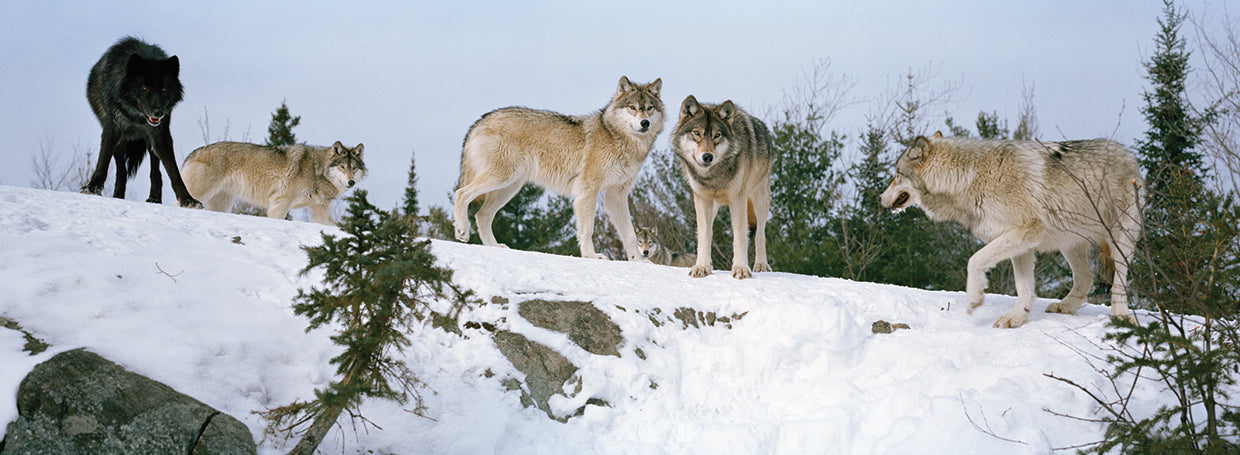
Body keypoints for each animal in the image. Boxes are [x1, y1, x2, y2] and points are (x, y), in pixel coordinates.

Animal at [81, 36, 201, 208]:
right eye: (144, 88)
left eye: (164, 89)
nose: (159, 112)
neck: (136, 118)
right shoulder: (113, 129)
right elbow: (103, 160)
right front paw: (92, 187)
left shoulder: (161, 134)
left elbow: (173, 170)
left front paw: (187, 199)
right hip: (121, 141)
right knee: (122, 171)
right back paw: (118, 196)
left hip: (151, 143)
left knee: (155, 171)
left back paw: (155, 198)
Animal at [180, 141, 366, 225]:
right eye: (342, 167)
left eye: (354, 168)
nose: (351, 182)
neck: (316, 170)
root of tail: (194, 152)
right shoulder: (280, 203)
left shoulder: (320, 213)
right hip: (198, 194)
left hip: (222, 205)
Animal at [452, 76, 664, 260]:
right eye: (632, 107)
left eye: (649, 108)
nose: (645, 123)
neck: (619, 138)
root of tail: (480, 120)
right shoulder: (588, 192)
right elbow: (588, 229)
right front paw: (591, 256)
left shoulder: (616, 196)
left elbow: (630, 235)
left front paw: (640, 261)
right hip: (501, 178)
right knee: (461, 193)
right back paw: (462, 231)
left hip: (508, 188)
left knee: (482, 215)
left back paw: (494, 247)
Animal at [671, 95, 775, 279]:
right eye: (696, 133)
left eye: (717, 135)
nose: (707, 156)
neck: (713, 176)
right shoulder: (702, 199)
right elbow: (704, 235)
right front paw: (701, 267)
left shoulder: (738, 200)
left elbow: (740, 236)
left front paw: (741, 268)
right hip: (713, 207)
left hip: (760, 201)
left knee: (760, 235)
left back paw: (761, 265)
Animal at [880, 132, 1144, 328]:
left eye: (896, 175)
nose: (880, 198)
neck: (968, 177)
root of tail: (1129, 154)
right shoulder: (1020, 244)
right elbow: (1023, 287)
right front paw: (1017, 318)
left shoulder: (1025, 231)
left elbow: (974, 261)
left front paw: (974, 299)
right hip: (1069, 242)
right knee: (1086, 278)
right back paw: (1066, 306)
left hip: (1120, 237)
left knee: (1119, 280)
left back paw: (1121, 315)